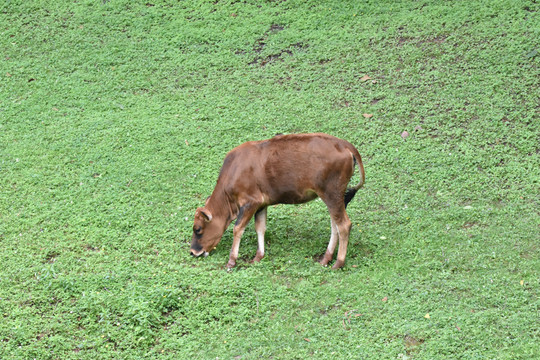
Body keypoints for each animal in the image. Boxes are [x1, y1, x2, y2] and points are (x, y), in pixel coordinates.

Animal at [188, 134, 364, 268]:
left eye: (198, 229)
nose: (193, 251)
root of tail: (345, 144)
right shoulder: (261, 204)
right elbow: (260, 228)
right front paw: (258, 256)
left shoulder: (250, 202)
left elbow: (237, 229)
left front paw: (232, 261)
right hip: (333, 198)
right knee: (335, 225)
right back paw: (326, 259)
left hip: (332, 195)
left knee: (343, 225)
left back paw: (338, 263)